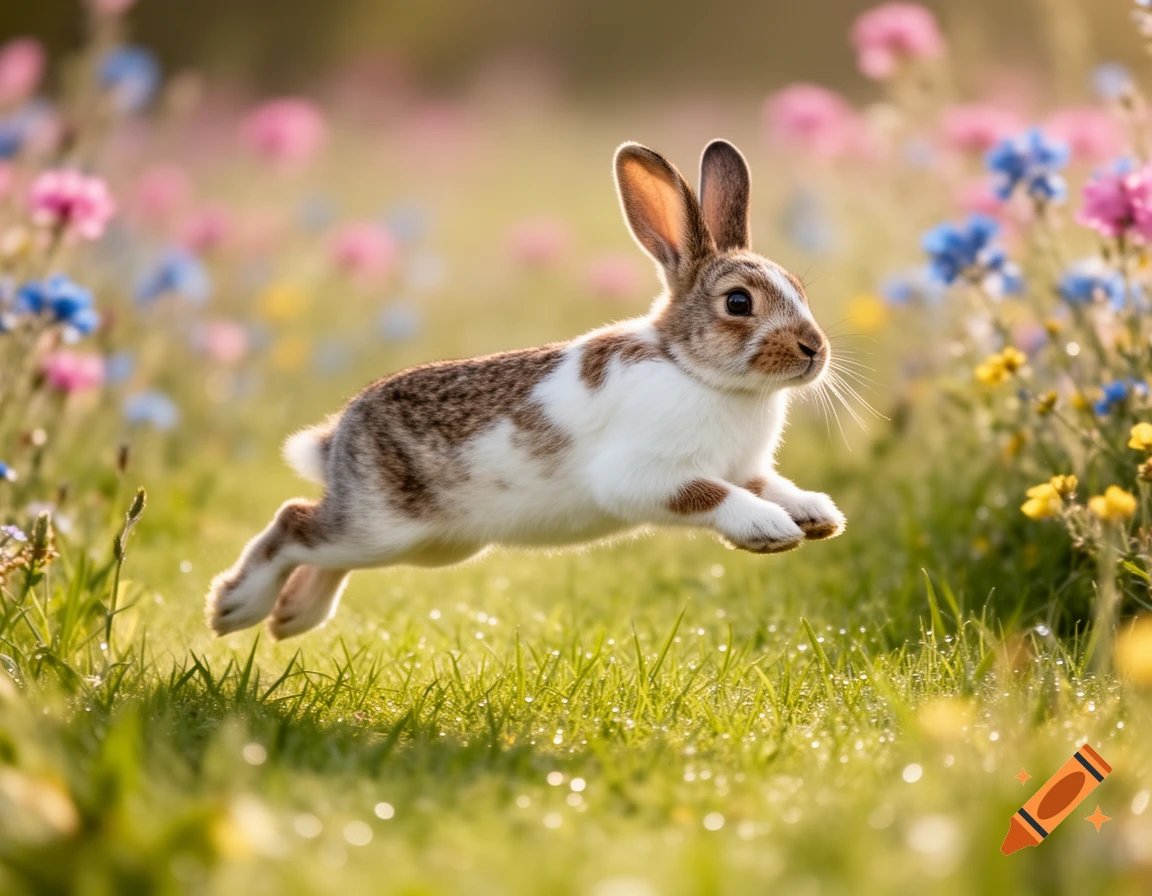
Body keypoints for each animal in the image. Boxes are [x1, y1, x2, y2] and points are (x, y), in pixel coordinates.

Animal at [206, 139, 845, 640]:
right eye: (738, 302)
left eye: (799, 288)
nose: (814, 349)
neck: (691, 368)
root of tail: (340, 434)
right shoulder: (644, 474)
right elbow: (710, 495)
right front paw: (769, 529)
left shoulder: (744, 467)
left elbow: (768, 485)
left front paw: (818, 517)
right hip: (382, 527)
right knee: (294, 522)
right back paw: (235, 607)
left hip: (431, 546)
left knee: (321, 547)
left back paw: (293, 616)